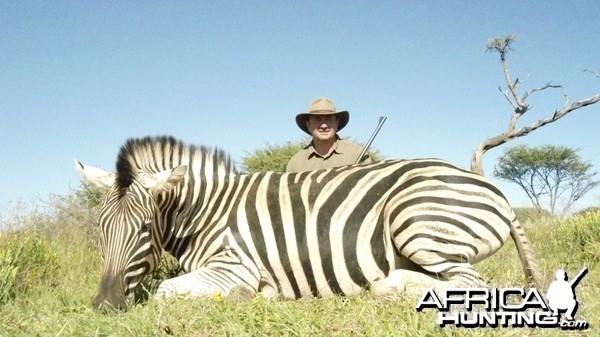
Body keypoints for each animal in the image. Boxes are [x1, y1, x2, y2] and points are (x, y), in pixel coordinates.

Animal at [74, 135, 540, 308]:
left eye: (144, 230)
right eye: (100, 231)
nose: (104, 305)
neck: (207, 211)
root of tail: (496, 192)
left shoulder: (234, 266)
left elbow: (165, 292)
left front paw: (254, 296)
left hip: (414, 222)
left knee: (473, 285)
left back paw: (386, 287)